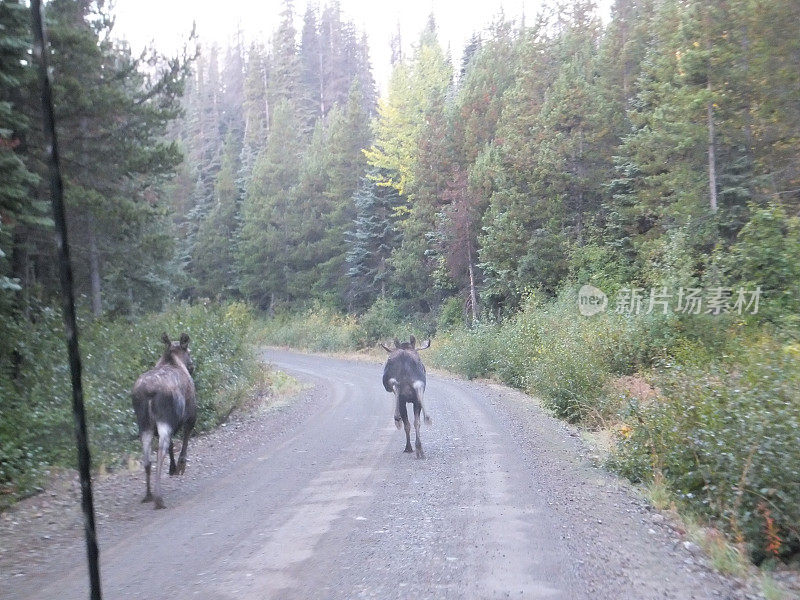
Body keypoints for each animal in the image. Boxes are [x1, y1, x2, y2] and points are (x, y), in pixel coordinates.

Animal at [132, 330, 198, 508]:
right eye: (189, 351)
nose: (192, 365)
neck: (173, 360)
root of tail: (148, 393)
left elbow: (173, 445)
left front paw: (173, 468)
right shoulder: (191, 414)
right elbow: (184, 439)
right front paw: (180, 466)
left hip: (144, 424)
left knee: (147, 457)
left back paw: (148, 495)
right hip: (164, 420)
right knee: (160, 451)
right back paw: (158, 498)